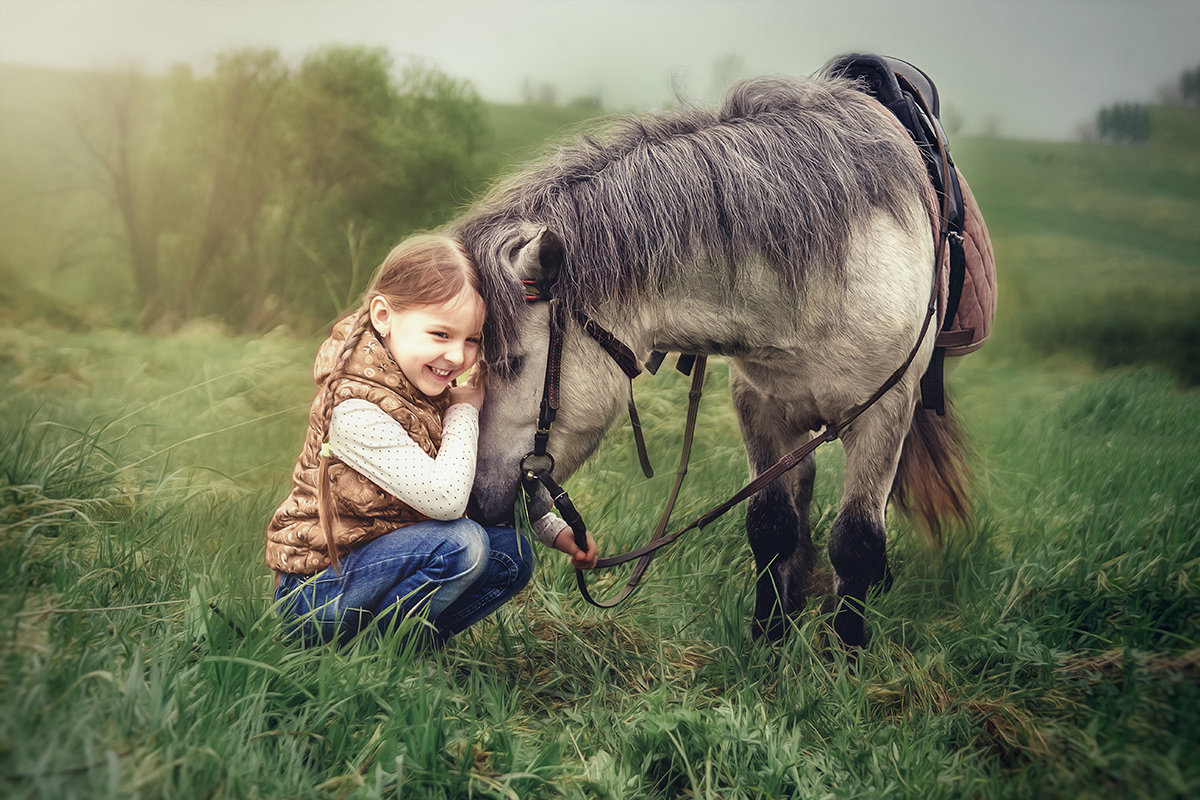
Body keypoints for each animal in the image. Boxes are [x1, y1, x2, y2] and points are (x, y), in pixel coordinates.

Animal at [446, 73, 969, 652]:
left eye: (512, 362)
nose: (474, 503)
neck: (822, 285)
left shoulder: (884, 411)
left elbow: (856, 541)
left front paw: (846, 656)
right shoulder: (760, 406)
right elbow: (771, 524)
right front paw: (770, 640)